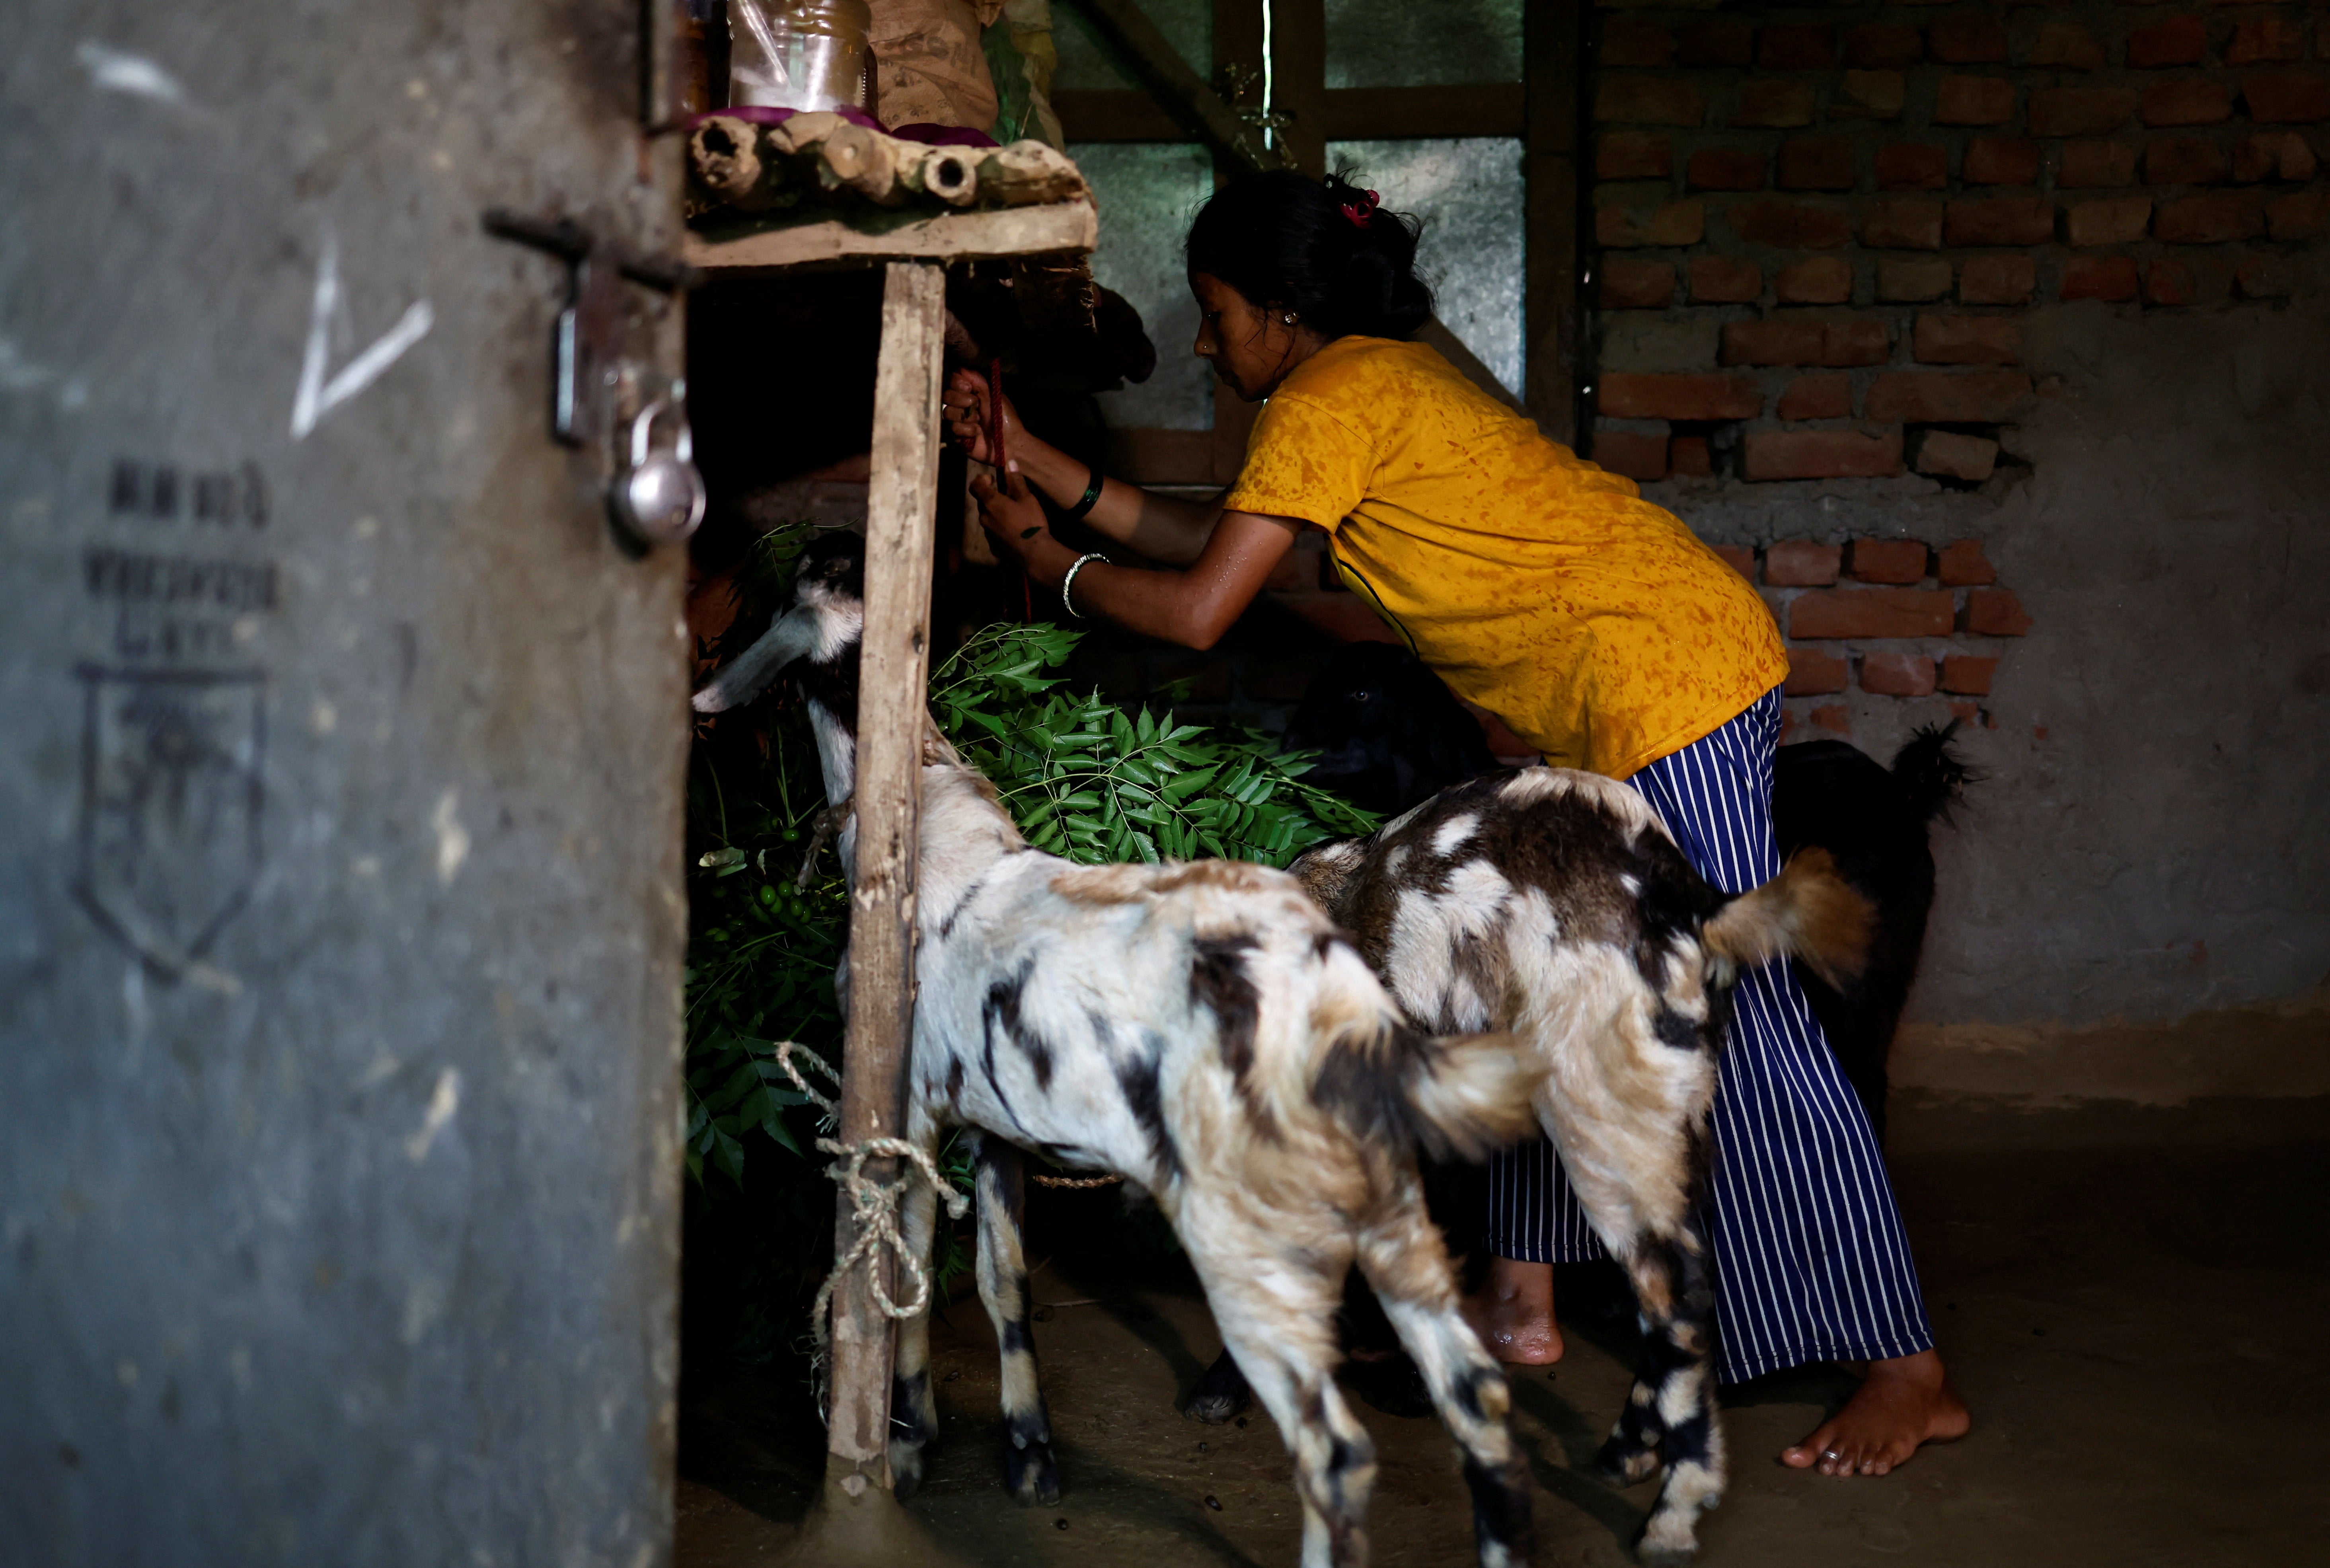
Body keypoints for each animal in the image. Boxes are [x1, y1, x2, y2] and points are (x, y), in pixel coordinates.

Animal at [699, 536, 1556, 1566]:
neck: (925, 822)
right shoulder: (994, 1122)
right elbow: (1001, 1277)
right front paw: (1029, 1455)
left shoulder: (910, 1099)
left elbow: (904, 1259)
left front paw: (905, 1439)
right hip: (1385, 1198)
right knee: (1474, 1396)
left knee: (1334, 1444)